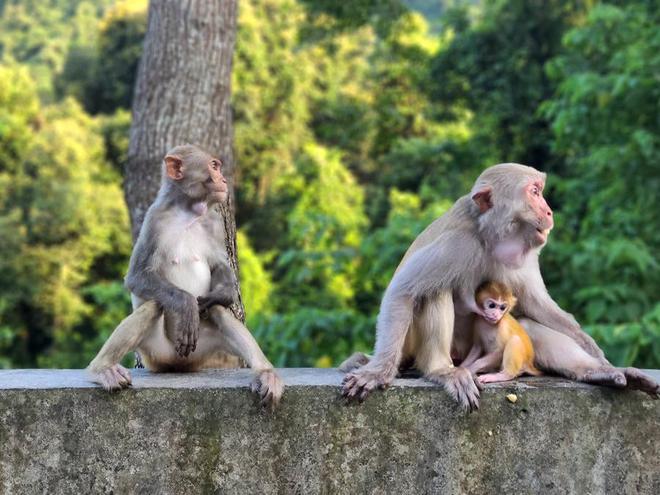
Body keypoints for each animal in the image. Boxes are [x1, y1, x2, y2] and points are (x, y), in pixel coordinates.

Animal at [342, 163, 656, 410]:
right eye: (534, 192)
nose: (549, 211)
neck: (488, 236)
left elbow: (535, 304)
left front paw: (601, 360)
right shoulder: (456, 244)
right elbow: (404, 291)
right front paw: (378, 374)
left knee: (525, 325)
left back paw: (595, 373)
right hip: (422, 345)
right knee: (434, 291)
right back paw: (441, 370)